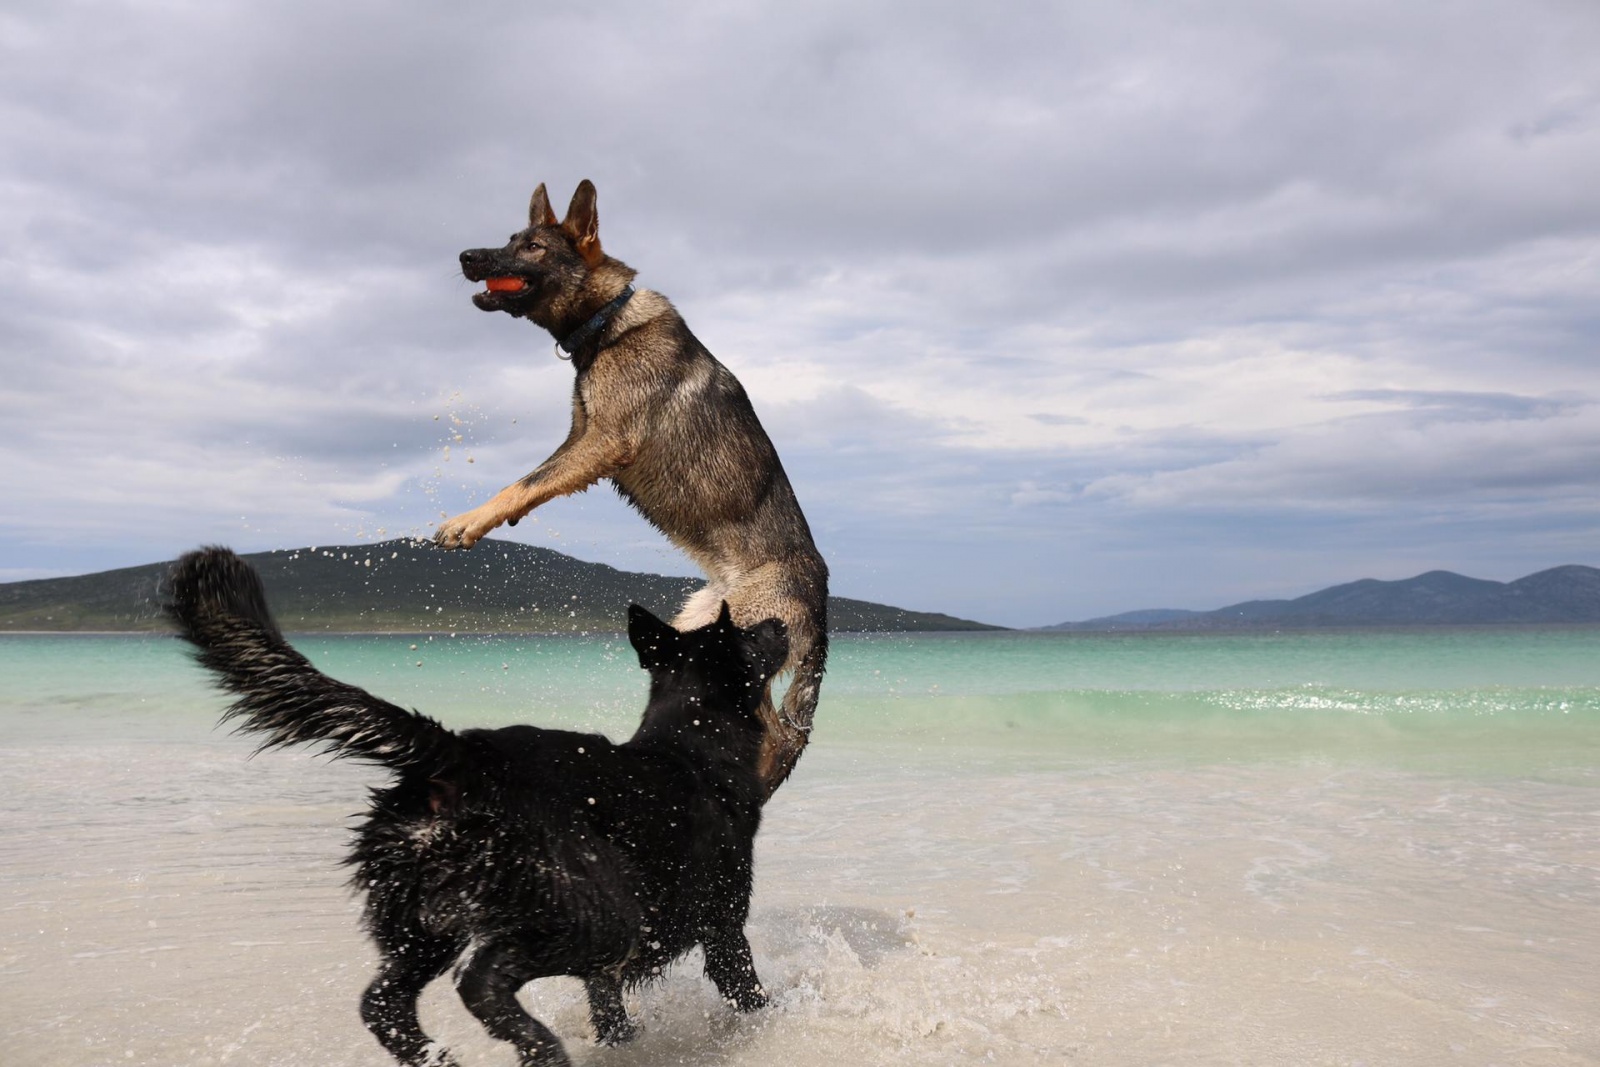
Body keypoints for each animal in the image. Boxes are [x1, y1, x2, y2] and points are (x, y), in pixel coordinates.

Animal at [164, 550, 787, 1067]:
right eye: (752, 636)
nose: (782, 622)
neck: (692, 741)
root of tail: (461, 758)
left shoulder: (611, 971)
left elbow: (609, 1012)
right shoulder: (723, 924)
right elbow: (748, 991)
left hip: (421, 920)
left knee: (381, 1004)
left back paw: (439, 1059)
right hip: (596, 913)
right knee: (479, 980)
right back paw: (539, 1049)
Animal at [438, 179, 832, 796]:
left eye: (532, 247)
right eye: (509, 239)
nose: (465, 257)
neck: (606, 320)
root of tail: (823, 599)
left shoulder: (603, 441)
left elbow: (521, 481)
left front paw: (469, 521)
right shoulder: (581, 438)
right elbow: (535, 479)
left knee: (770, 727)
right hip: (692, 629)